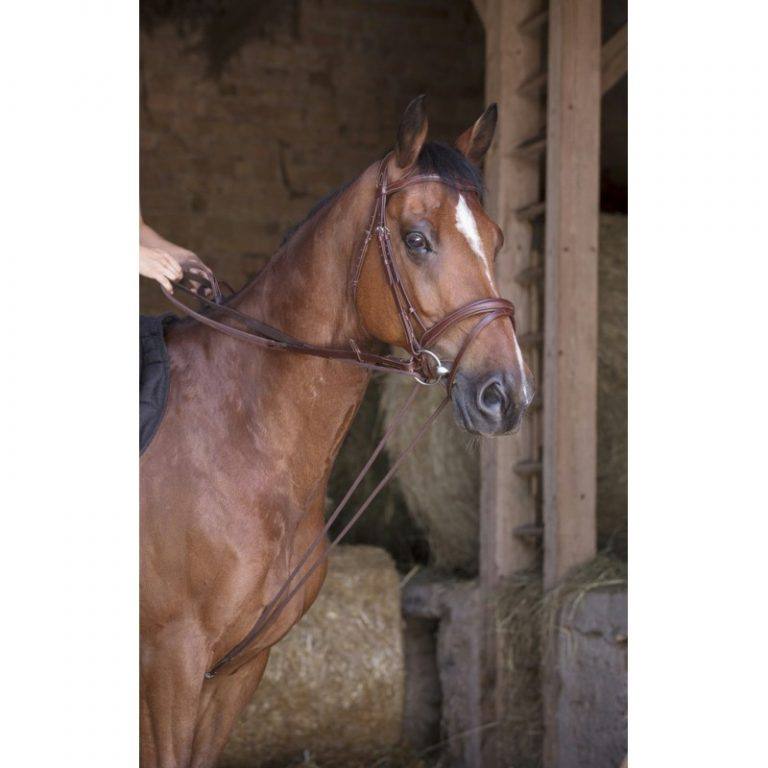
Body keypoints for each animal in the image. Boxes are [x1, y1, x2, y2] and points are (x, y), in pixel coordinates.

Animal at [140, 95, 534, 768]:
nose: (504, 396)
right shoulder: (171, 664)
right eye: (417, 239)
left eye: (496, 239)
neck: (241, 439)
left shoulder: (237, 668)